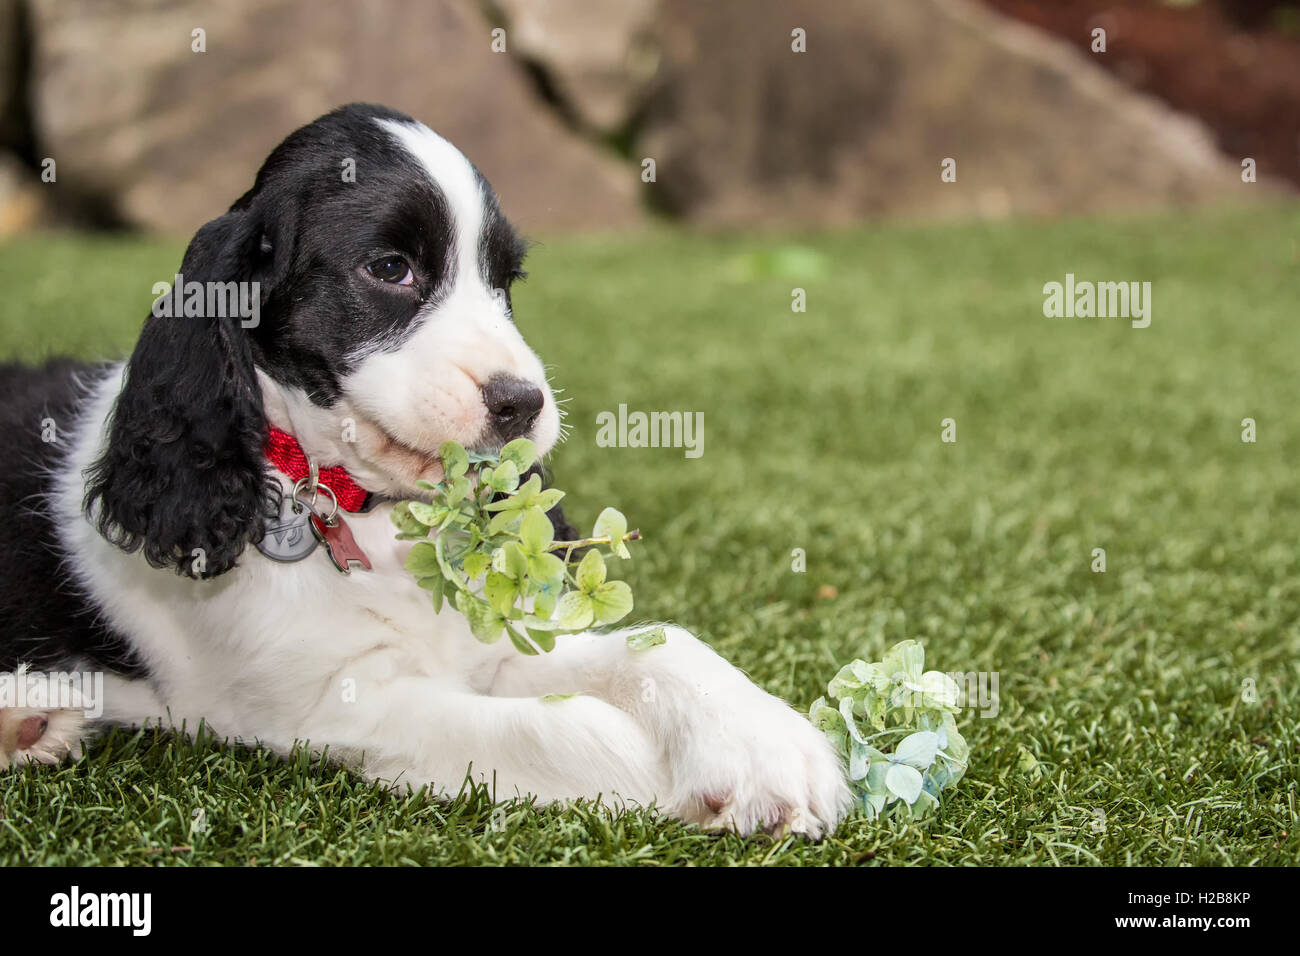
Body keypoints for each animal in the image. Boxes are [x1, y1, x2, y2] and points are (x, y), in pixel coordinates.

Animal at [0, 102, 847, 837]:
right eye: (389, 267)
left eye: (505, 281)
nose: (522, 404)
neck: (352, 507)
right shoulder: (325, 706)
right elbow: (567, 728)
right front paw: (660, 778)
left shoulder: (490, 648)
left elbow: (658, 644)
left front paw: (768, 750)